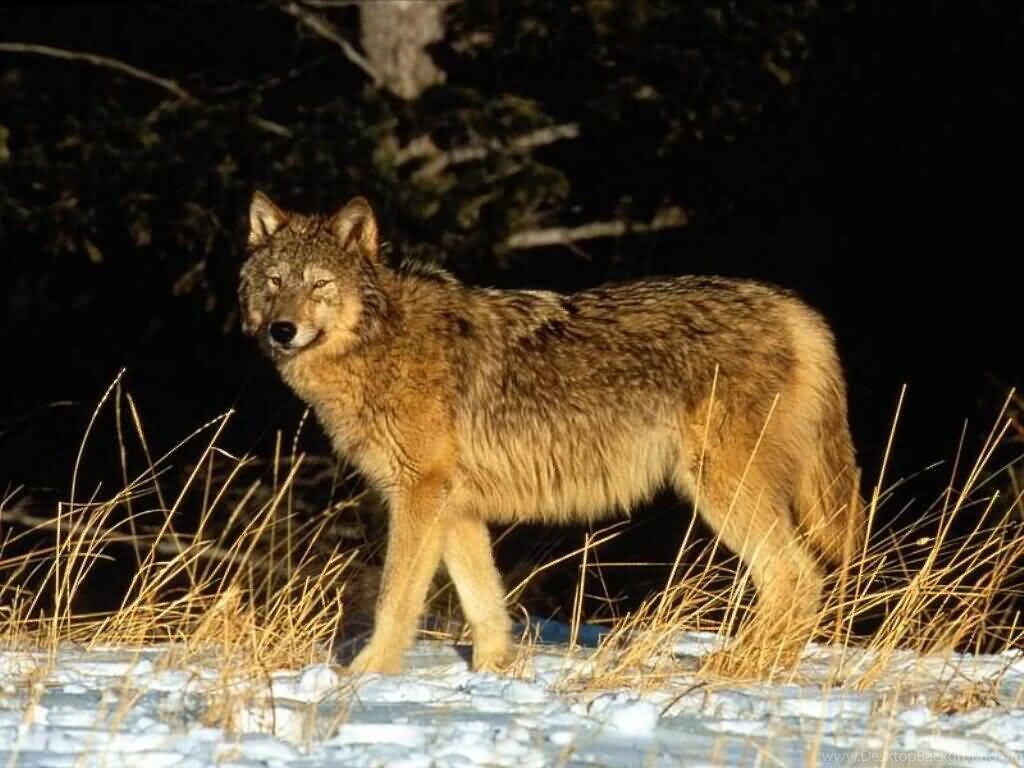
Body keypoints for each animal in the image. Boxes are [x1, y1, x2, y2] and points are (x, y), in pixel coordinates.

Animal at [238, 191, 865, 677]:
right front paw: (495, 672)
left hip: (721, 492)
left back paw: (744, 666)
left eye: (319, 285)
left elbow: (396, 596)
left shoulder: (418, 495)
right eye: (273, 283)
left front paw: (365, 674)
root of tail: (796, 311)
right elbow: (484, 601)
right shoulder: (455, 506)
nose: (282, 330)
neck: (380, 342)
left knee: (797, 575)